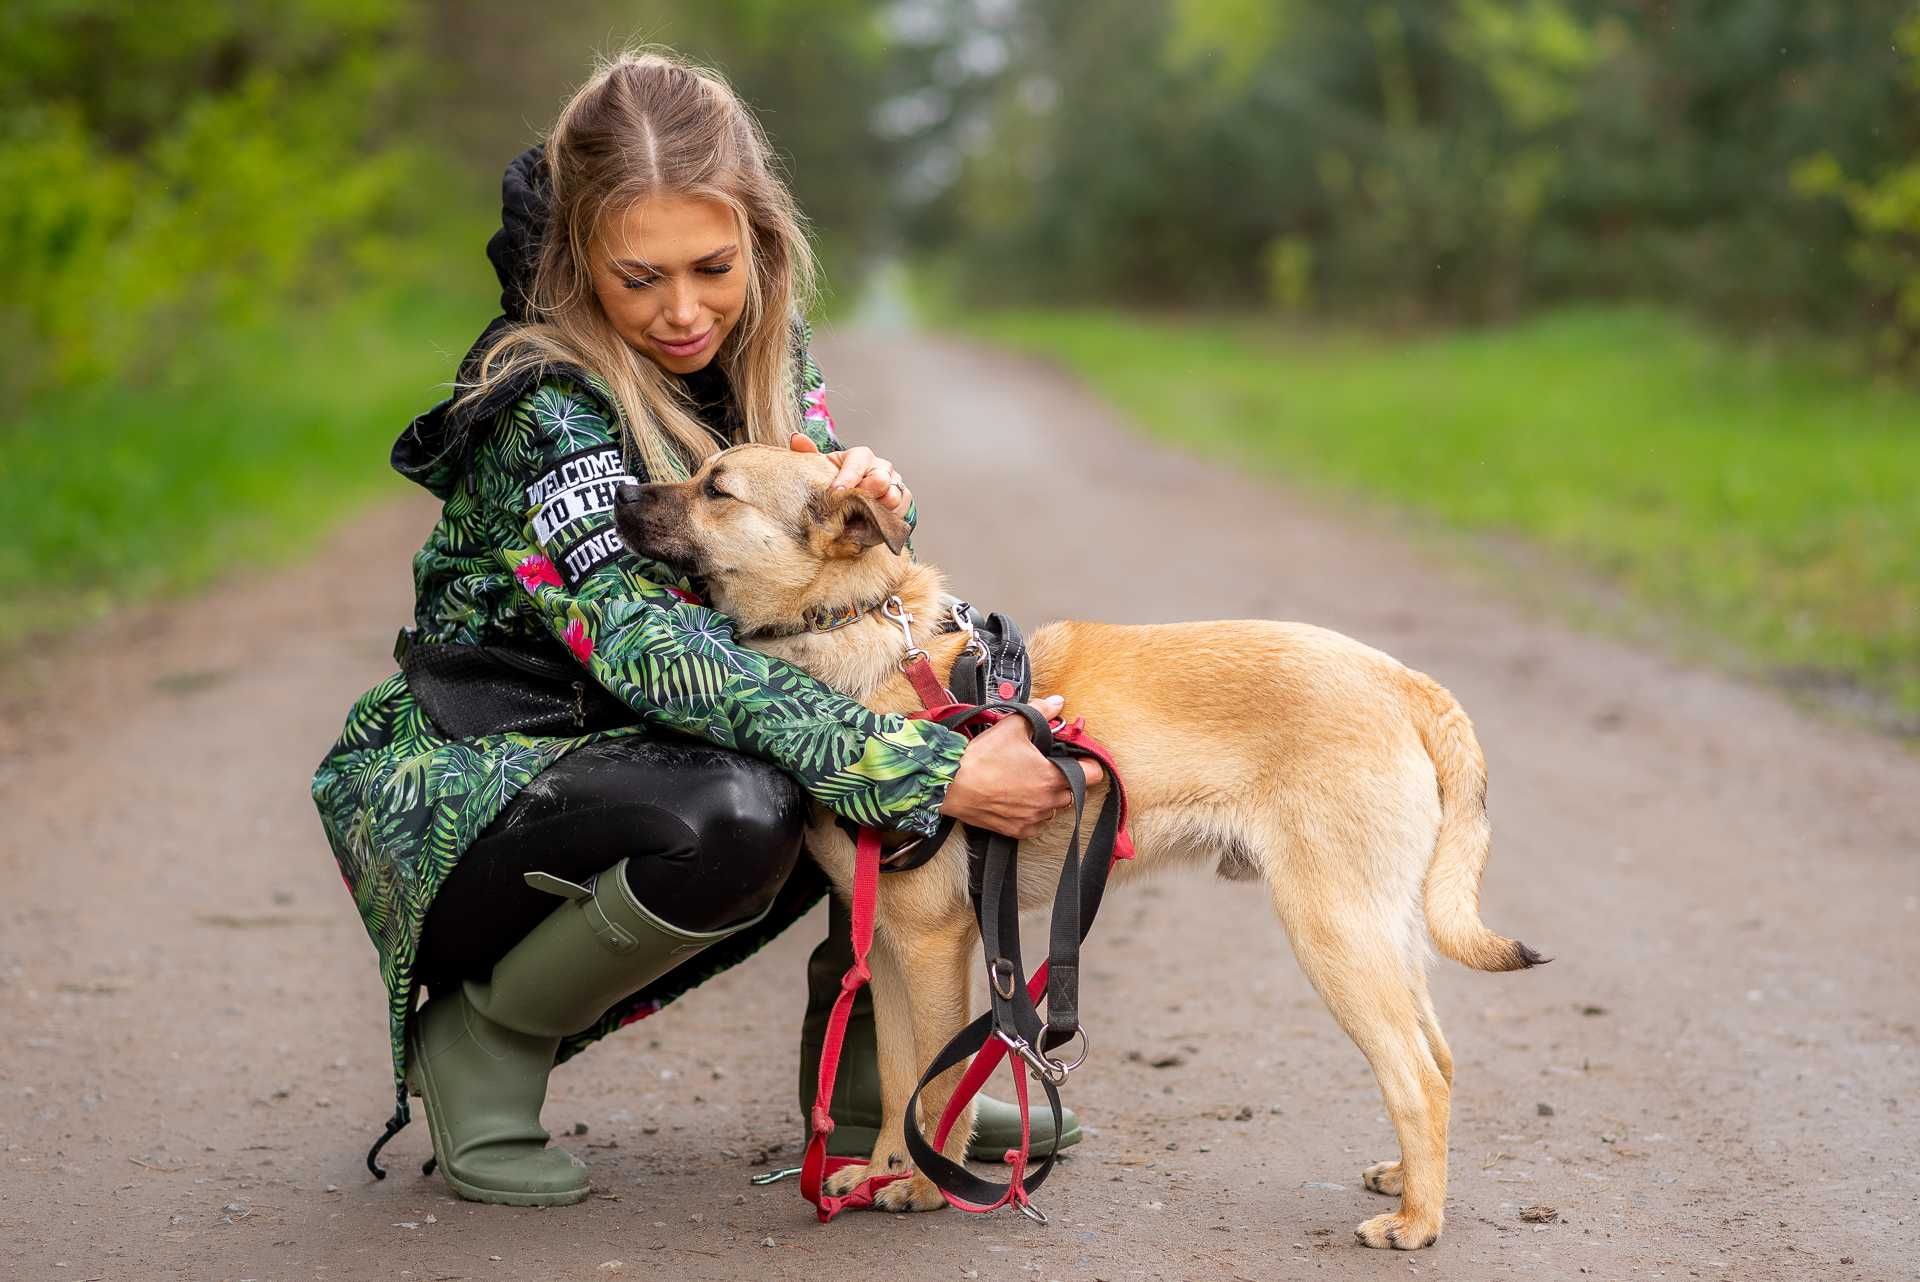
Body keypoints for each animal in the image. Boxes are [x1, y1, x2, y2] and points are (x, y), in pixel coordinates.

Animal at [614, 445, 1543, 1243]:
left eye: (716, 489)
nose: (616, 495)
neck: (855, 643)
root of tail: (1403, 680)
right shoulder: (888, 948)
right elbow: (899, 1078)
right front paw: (879, 1175)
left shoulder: (933, 944)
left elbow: (935, 1088)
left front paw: (923, 1187)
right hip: (1381, 930)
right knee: (1439, 1059)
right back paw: (1410, 1181)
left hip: (1335, 931)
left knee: (1417, 1077)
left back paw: (1418, 1221)